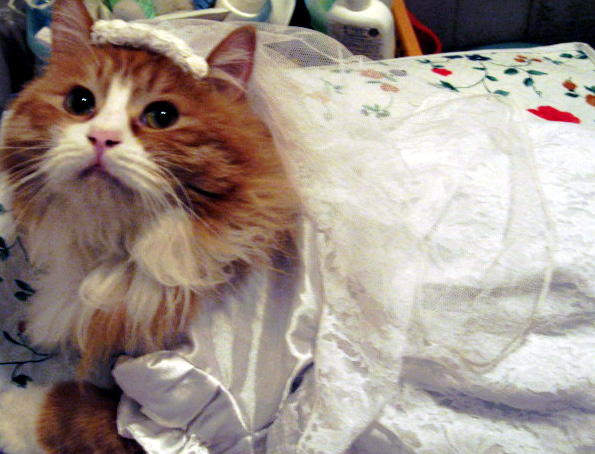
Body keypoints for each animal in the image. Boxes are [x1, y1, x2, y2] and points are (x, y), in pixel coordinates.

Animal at [0, 0, 298, 450]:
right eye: (79, 101)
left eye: (162, 115)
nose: (102, 138)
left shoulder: (202, 408)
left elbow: (61, 409)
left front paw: (9, 411)